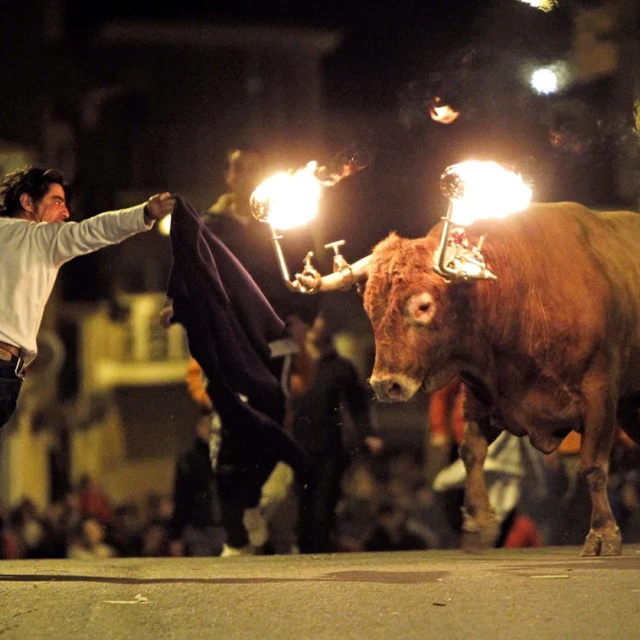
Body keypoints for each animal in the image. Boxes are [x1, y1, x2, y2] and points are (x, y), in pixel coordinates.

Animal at [304, 201, 640, 556]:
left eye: (423, 306)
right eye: (370, 308)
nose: (385, 384)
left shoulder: (599, 394)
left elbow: (593, 465)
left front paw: (603, 534)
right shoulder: (480, 397)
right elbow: (471, 452)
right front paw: (479, 525)